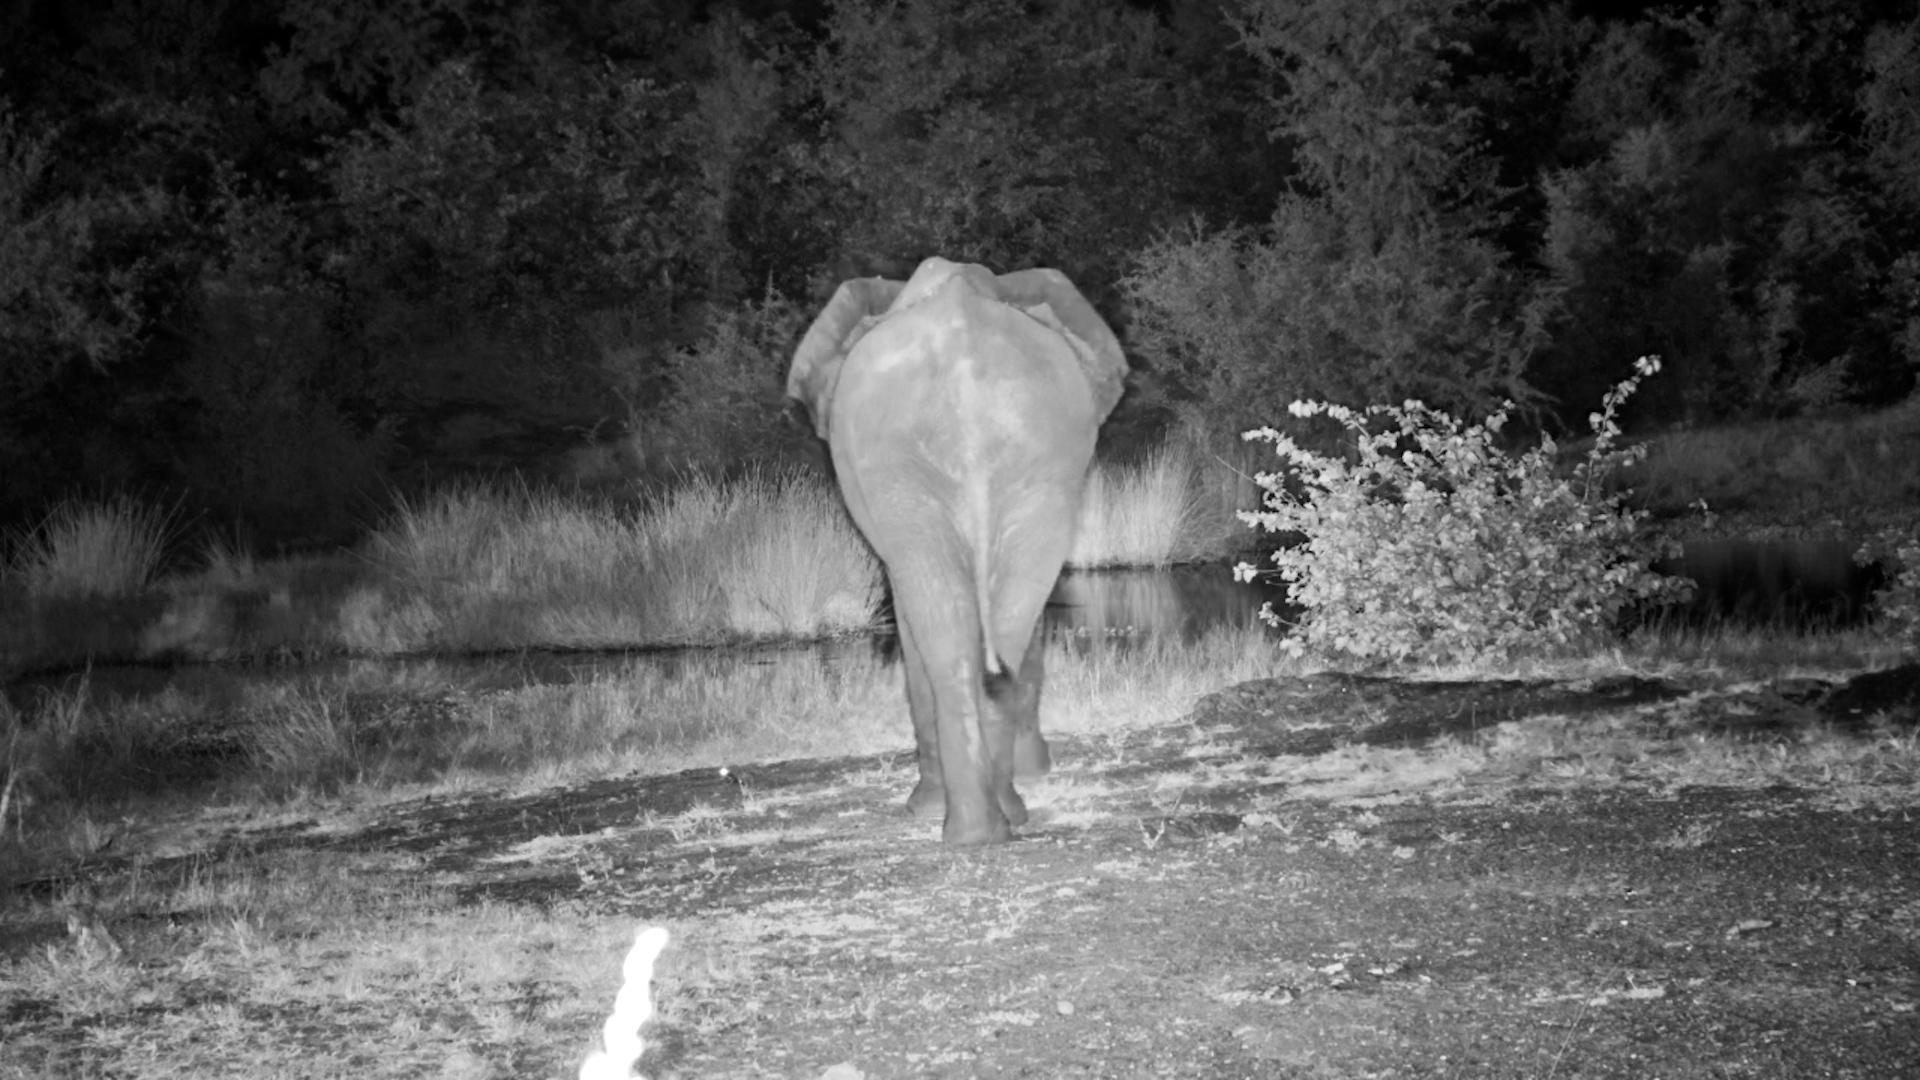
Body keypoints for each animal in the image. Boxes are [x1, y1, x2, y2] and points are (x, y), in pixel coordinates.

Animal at [787, 256, 1128, 846]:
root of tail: (968, 380)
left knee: (947, 620)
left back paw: (965, 824)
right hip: (1035, 460)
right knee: (998, 619)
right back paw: (991, 825)